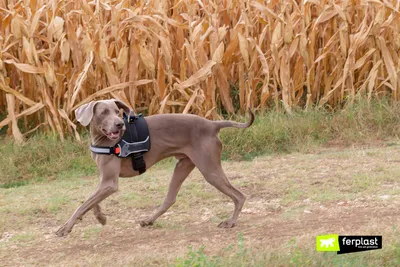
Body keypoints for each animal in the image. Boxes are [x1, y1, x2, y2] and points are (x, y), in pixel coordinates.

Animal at [55, 100, 253, 237]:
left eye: (117, 112)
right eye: (104, 112)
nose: (119, 124)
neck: (104, 140)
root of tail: (213, 125)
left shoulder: (110, 183)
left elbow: (83, 204)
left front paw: (65, 228)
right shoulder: (105, 180)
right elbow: (90, 202)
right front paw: (101, 217)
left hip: (209, 169)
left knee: (239, 195)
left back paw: (230, 222)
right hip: (183, 164)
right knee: (170, 199)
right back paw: (148, 220)